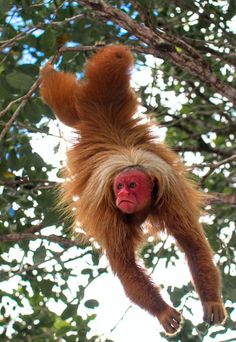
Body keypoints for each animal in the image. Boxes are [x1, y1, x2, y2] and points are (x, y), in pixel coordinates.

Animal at [39, 44, 226, 334]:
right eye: (119, 186)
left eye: (132, 185)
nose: (123, 195)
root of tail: (103, 113)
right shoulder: (107, 211)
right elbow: (125, 266)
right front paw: (163, 311)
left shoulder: (172, 199)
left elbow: (194, 247)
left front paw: (211, 301)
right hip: (84, 110)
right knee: (64, 107)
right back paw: (48, 74)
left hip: (112, 103)